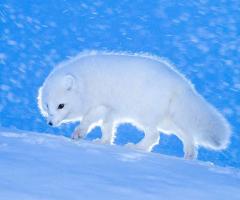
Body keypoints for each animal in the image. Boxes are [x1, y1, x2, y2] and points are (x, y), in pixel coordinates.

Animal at [37, 50, 231, 159]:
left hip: (145, 117)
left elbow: (88, 121)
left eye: (61, 106)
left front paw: (78, 134)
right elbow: (107, 128)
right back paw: (189, 155)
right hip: (168, 122)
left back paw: (136, 148)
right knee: (186, 134)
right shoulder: (110, 112)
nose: (50, 123)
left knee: (155, 136)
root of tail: (182, 84)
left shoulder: (100, 106)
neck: (85, 85)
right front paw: (104, 142)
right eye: (47, 106)